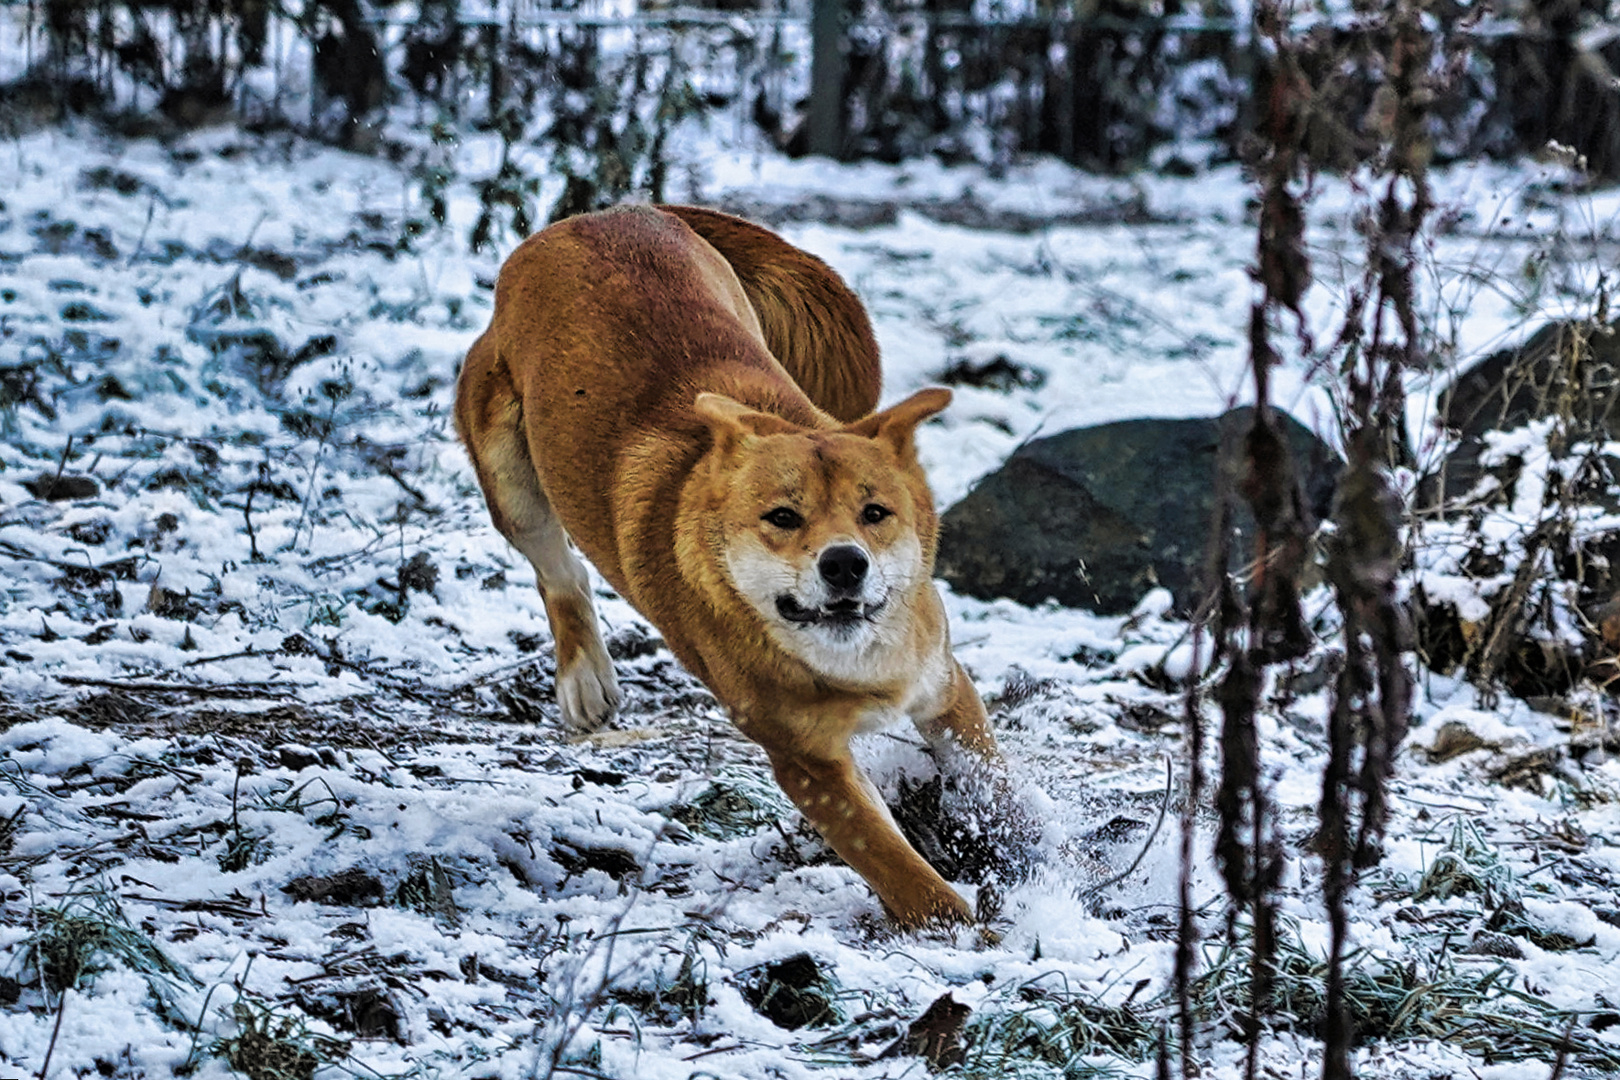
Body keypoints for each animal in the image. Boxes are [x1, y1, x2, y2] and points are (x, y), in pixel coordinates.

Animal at [456, 204, 1004, 932]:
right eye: (783, 518)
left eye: (875, 513)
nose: (845, 565)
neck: (846, 660)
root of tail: (600, 214)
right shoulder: (805, 759)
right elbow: (896, 864)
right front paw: (972, 931)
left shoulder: (941, 684)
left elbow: (993, 786)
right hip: (510, 475)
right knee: (559, 570)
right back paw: (584, 681)